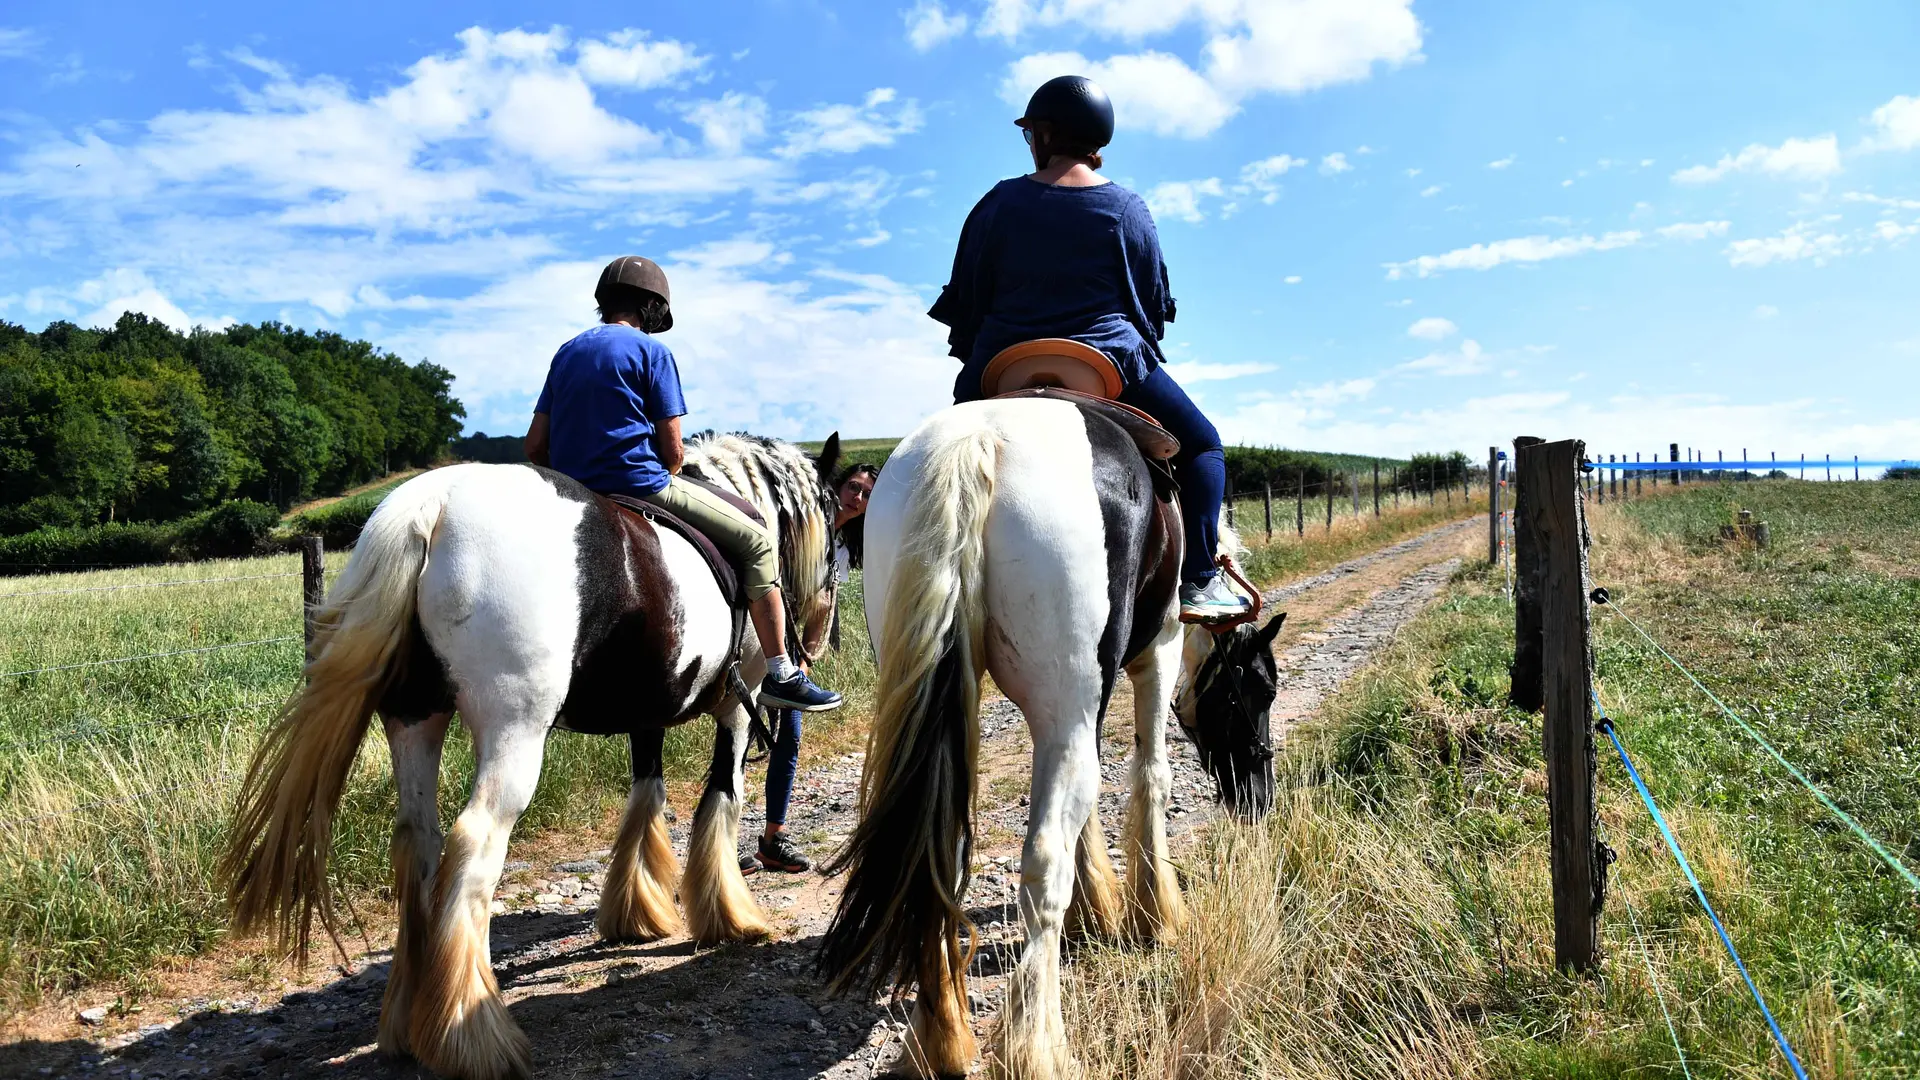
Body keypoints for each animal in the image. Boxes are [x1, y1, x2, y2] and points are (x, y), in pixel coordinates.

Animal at [220, 432, 843, 1080]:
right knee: (472, 846)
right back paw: (472, 1035)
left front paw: (636, 912)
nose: (821, 636)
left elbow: (645, 798)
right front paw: (731, 917)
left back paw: (411, 1019)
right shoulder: (738, 707)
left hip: (415, 721)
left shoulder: (646, 712)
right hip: (513, 732)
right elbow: (722, 797)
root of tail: (432, 503)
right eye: (832, 516)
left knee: (420, 840)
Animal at [816, 398, 1282, 1079]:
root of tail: (978, 439)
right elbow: (1151, 776)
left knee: (941, 853)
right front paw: (1154, 914)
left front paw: (1102, 906)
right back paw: (1034, 1046)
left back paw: (940, 1037)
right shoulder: (1159, 651)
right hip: (1069, 700)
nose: (1259, 796)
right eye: (1263, 688)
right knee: (1042, 866)